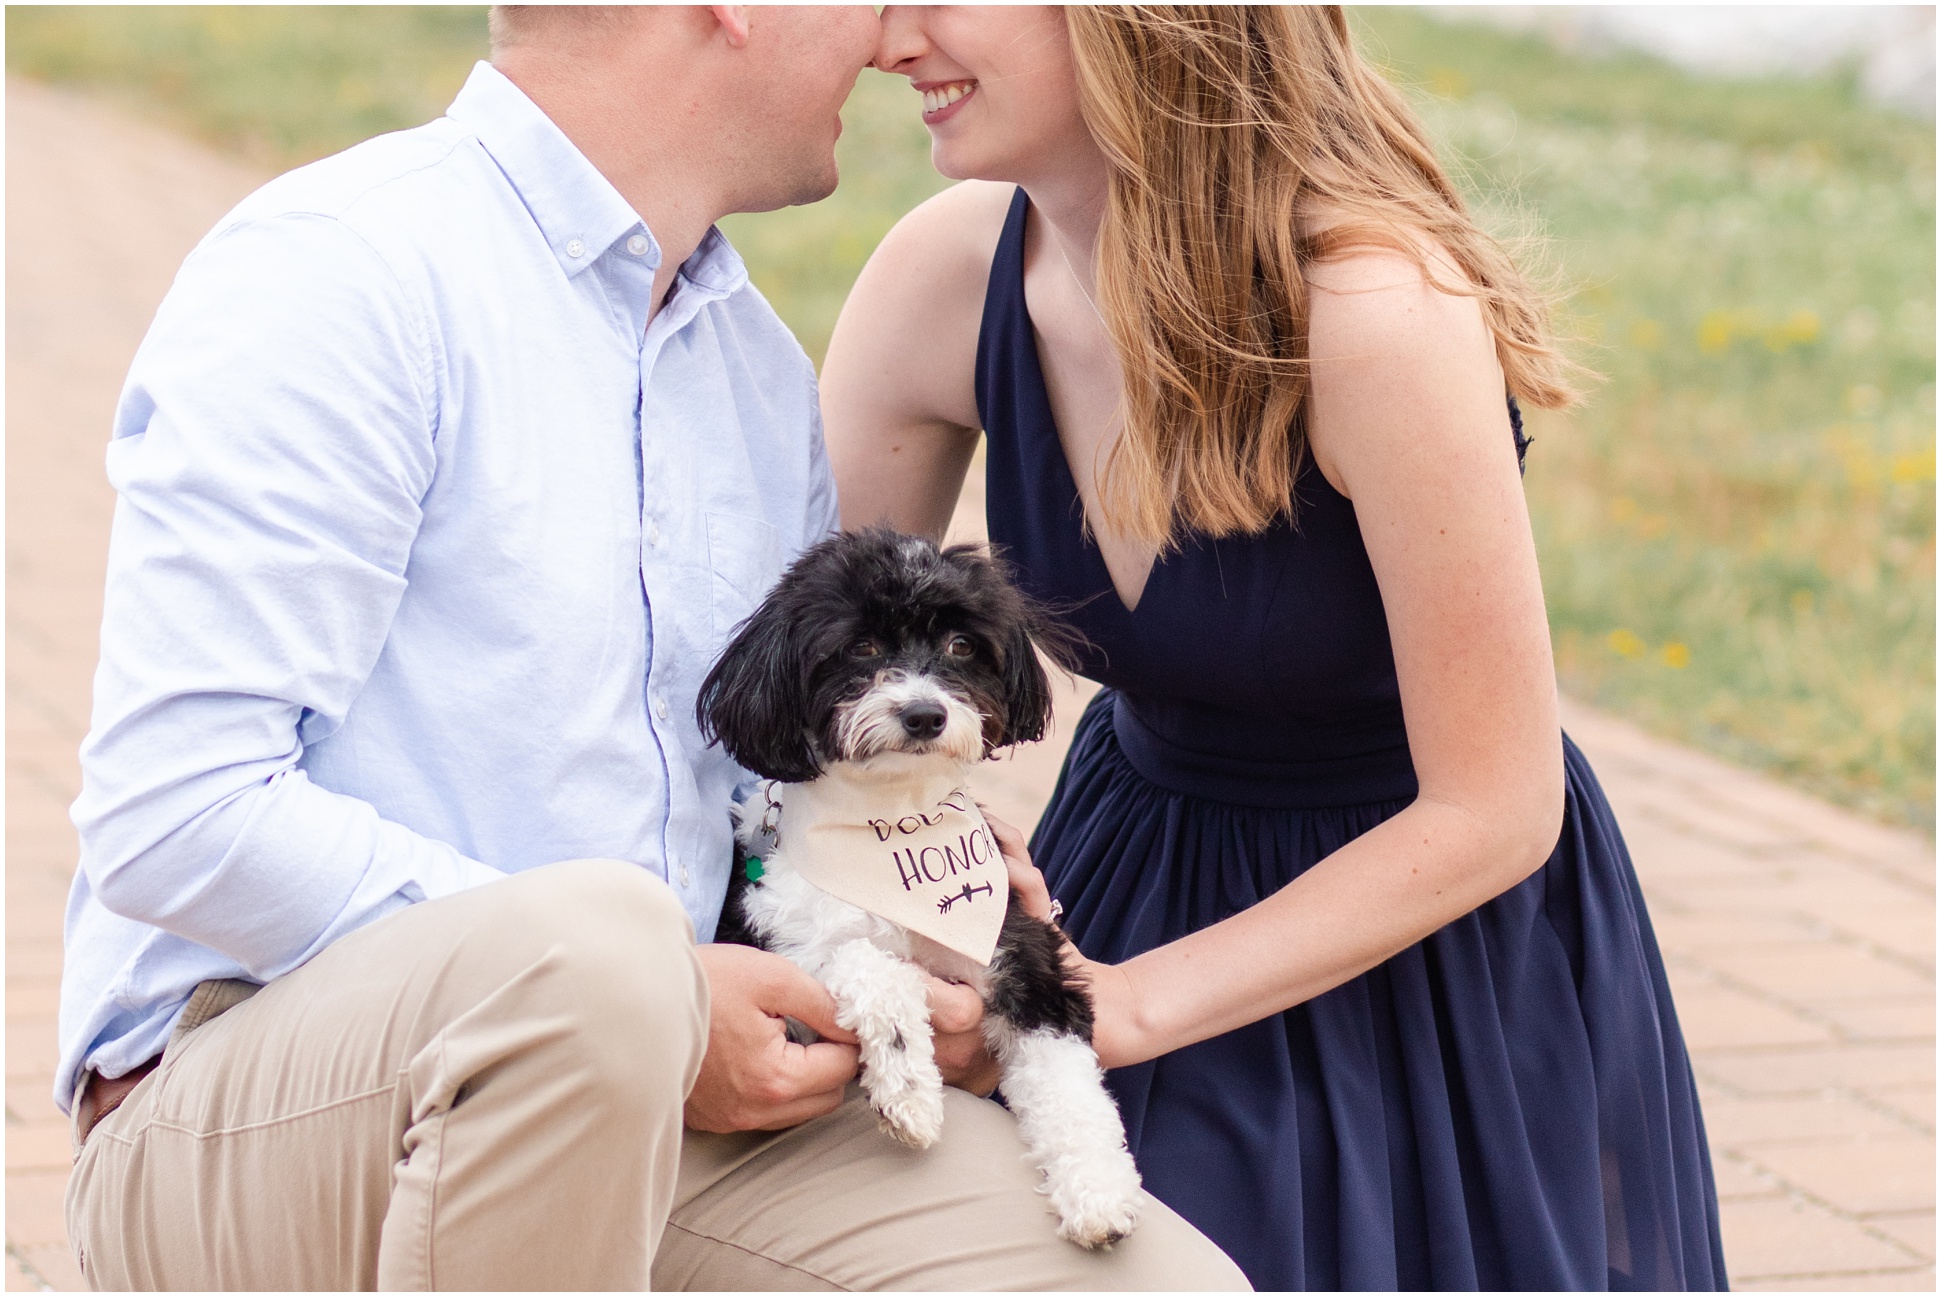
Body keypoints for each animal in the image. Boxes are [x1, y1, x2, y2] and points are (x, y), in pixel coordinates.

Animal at [698, 524, 1141, 1242]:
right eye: (862, 647)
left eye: (961, 646)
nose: (925, 714)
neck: (895, 821)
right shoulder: (785, 939)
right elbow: (871, 966)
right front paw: (908, 1087)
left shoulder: (1019, 950)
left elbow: (1068, 1077)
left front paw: (1098, 1188)